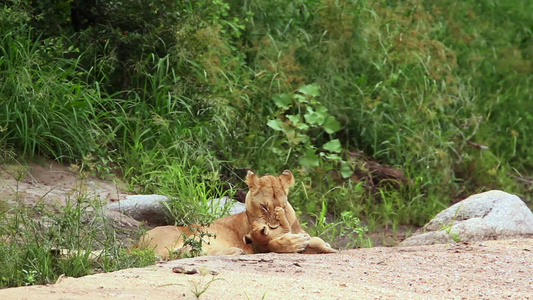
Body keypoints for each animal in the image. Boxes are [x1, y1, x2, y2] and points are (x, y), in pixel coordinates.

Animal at [137, 170, 336, 258]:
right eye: (264, 207)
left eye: (282, 205)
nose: (272, 227)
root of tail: (136, 243)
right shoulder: (257, 243)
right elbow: (273, 243)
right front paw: (295, 243)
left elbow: (313, 240)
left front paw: (323, 245)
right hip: (174, 240)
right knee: (176, 254)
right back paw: (235, 251)